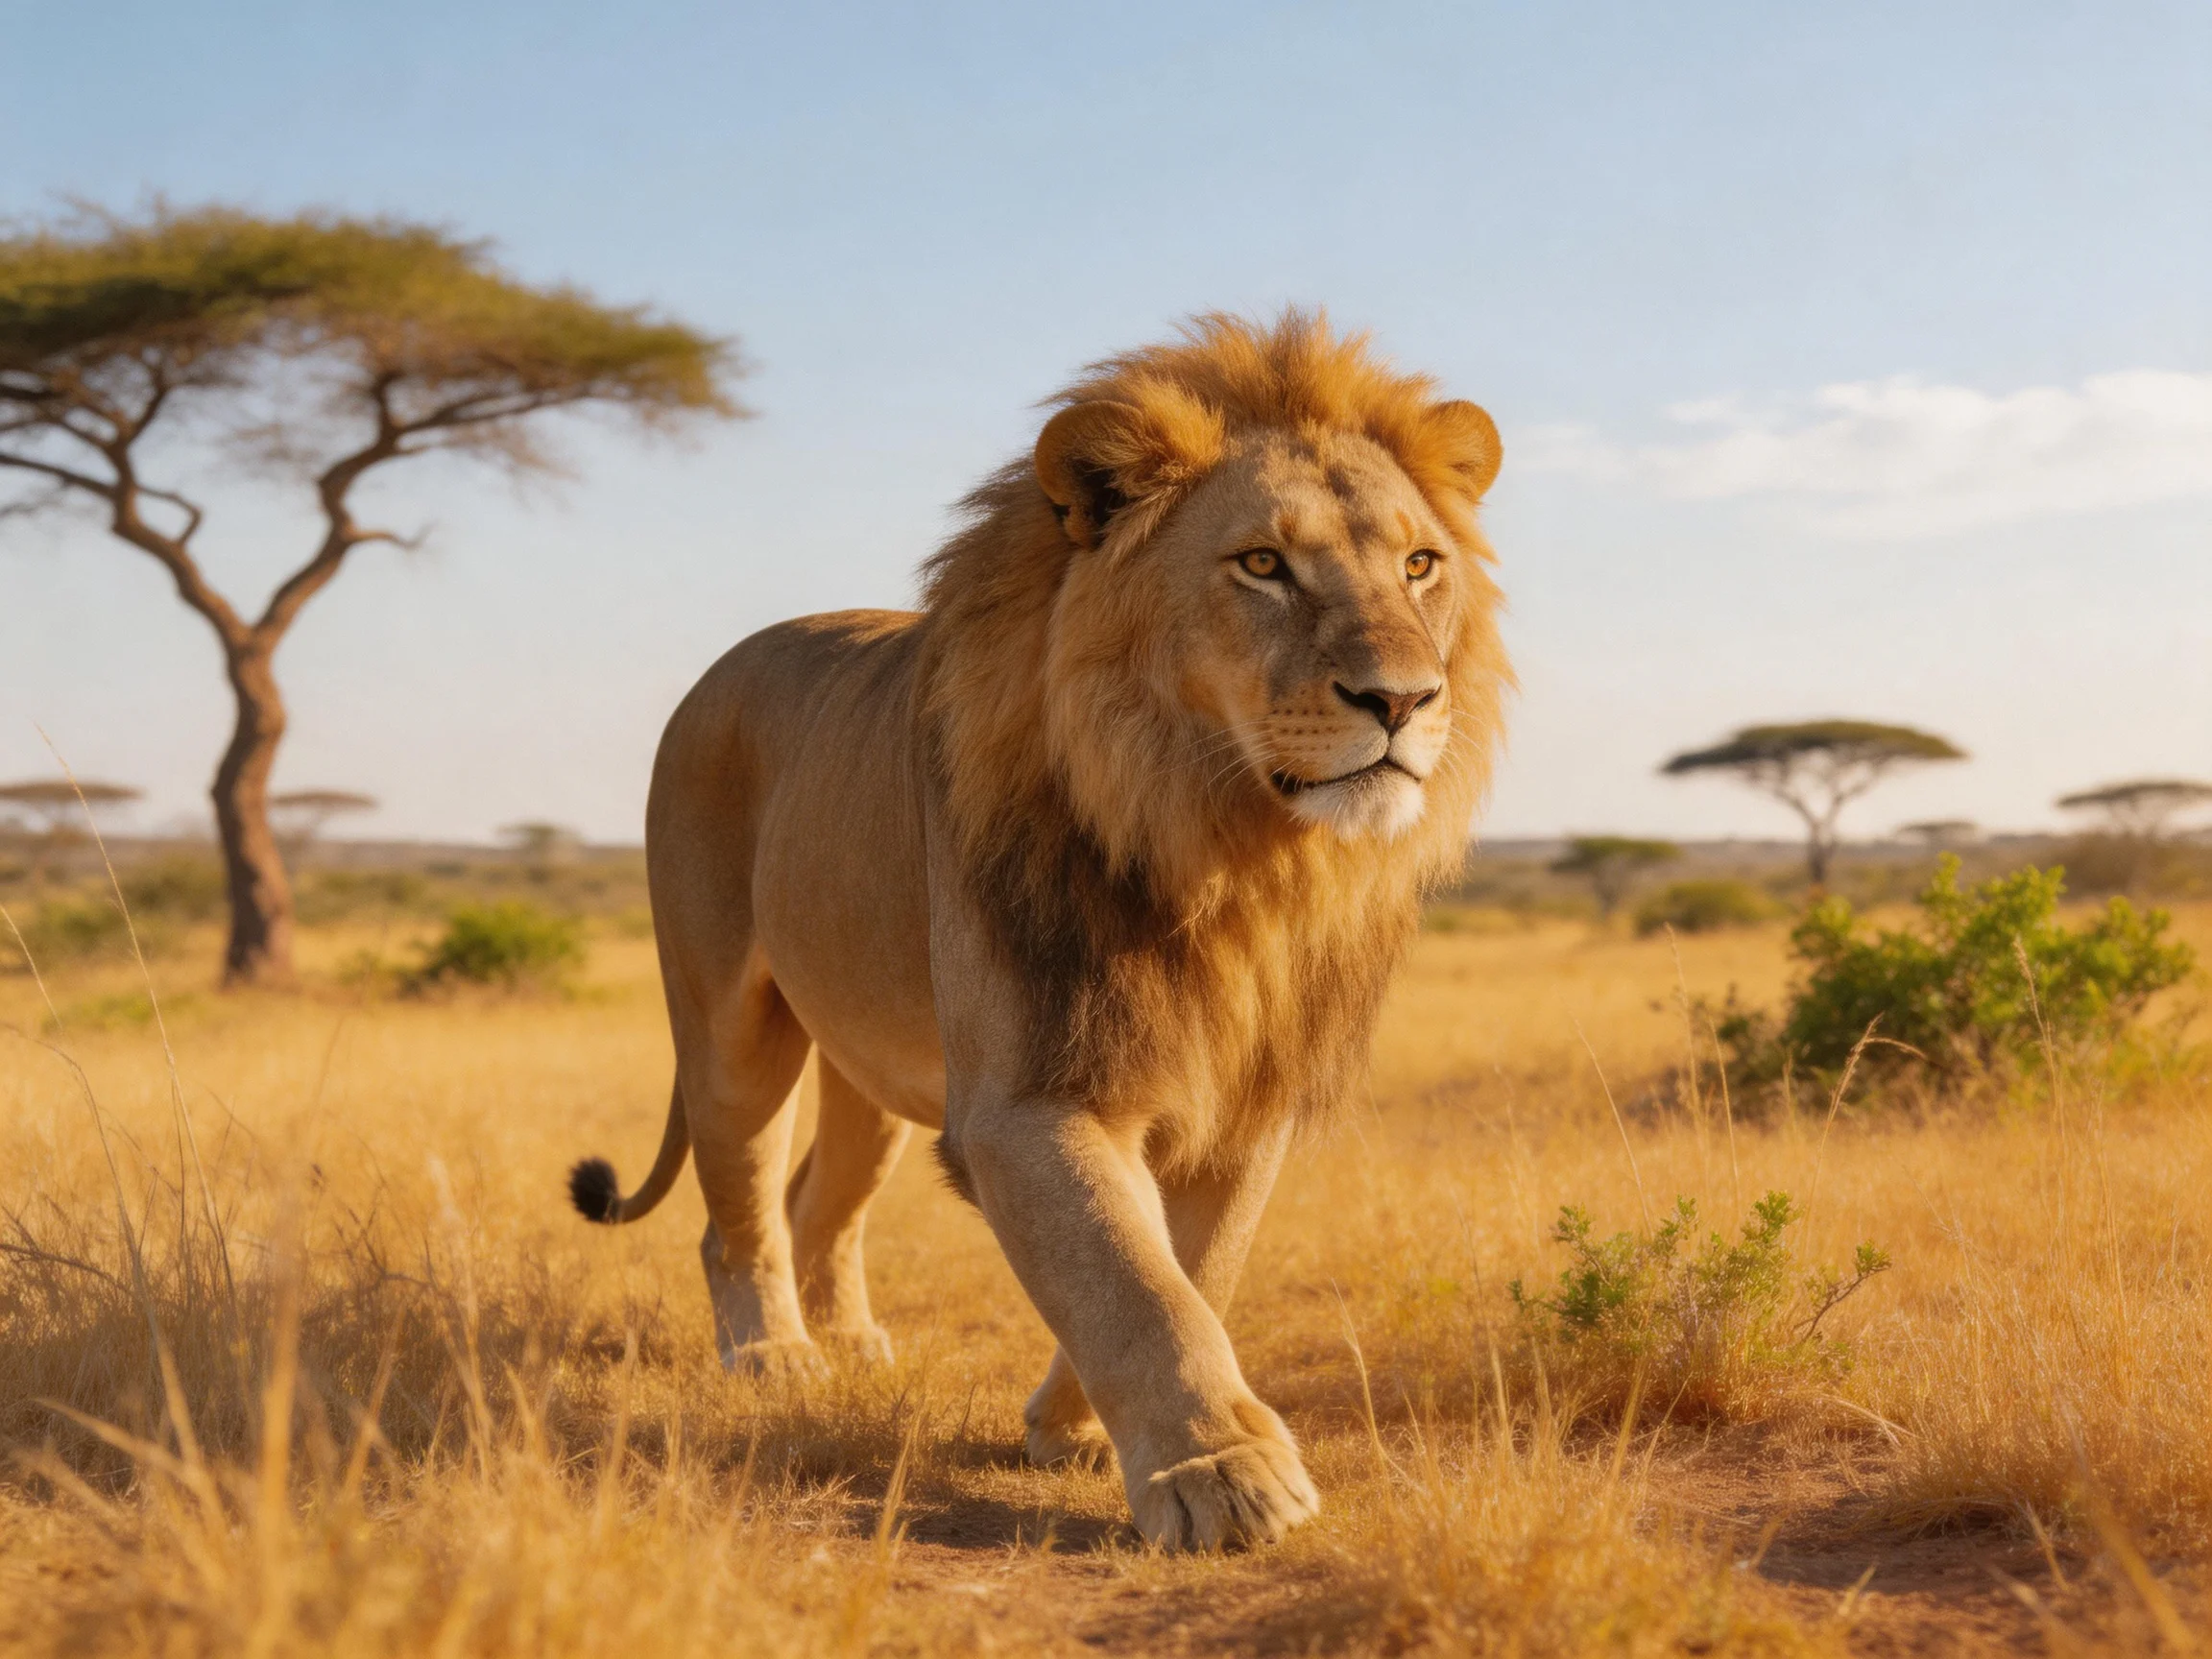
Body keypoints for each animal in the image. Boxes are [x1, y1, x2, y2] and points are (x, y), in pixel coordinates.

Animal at [567, 311, 1508, 1551]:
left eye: (1419, 565)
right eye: (1263, 565)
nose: (1403, 701)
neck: (1230, 854)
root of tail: (725, 665)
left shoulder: (1244, 1101)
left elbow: (1195, 1267)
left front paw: (1081, 1431)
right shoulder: (1024, 1098)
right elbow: (1131, 1278)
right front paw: (1223, 1476)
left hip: (873, 1068)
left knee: (824, 1198)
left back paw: (852, 1344)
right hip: (729, 1021)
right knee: (741, 1212)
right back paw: (776, 1358)